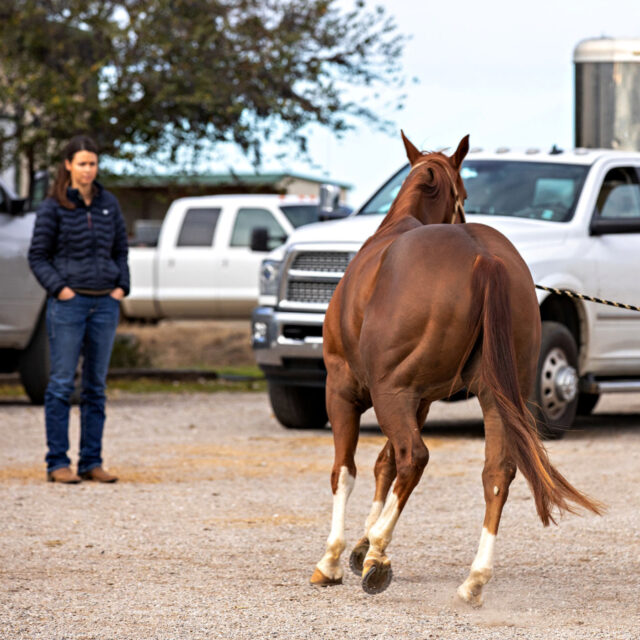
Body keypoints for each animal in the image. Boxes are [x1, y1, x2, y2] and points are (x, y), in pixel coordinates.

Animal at [312, 134, 604, 604]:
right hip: (495, 397)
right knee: (496, 473)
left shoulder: (343, 388)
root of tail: (484, 258)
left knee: (415, 457)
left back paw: (379, 555)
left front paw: (337, 556)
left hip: (391, 394)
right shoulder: (421, 401)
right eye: (465, 193)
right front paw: (362, 543)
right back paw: (473, 578)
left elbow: (347, 470)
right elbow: (383, 464)